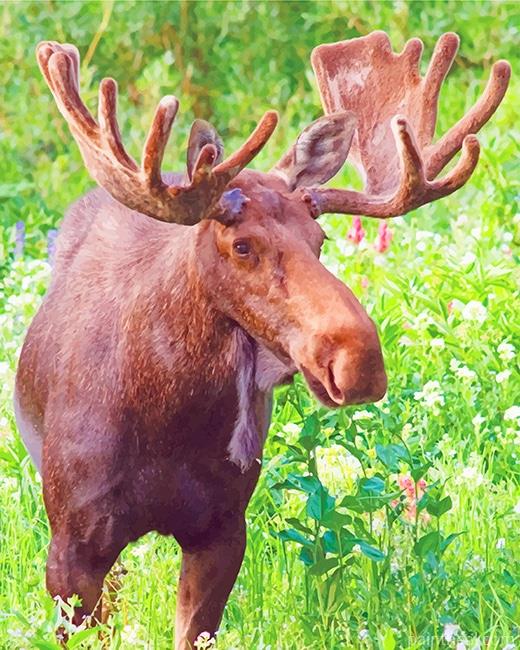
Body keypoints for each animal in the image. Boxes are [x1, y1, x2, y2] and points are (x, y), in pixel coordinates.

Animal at [15, 31, 510, 649]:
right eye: (242, 245)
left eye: (320, 238)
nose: (359, 360)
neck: (166, 422)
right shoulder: (72, 546)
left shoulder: (224, 528)